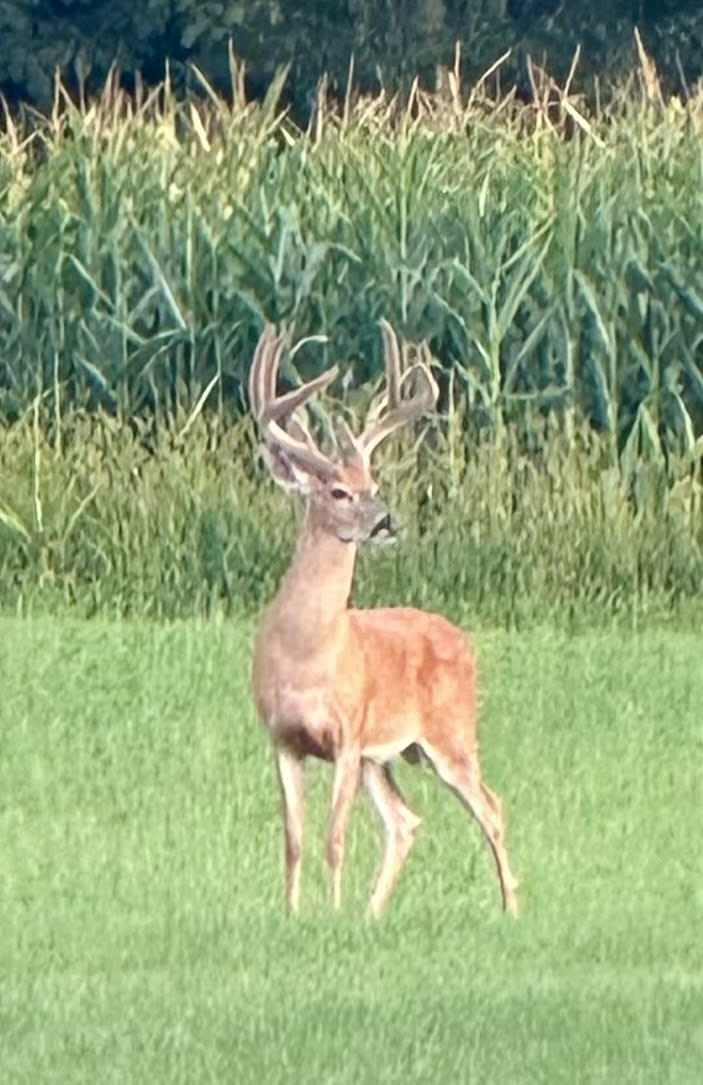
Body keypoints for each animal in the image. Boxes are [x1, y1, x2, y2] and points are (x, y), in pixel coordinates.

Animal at [249, 320, 519, 919]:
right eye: (338, 491)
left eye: (372, 485)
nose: (386, 520)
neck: (307, 653)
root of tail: (462, 637)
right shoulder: (284, 738)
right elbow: (293, 840)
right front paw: (292, 915)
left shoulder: (348, 734)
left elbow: (334, 838)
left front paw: (330, 914)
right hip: (389, 755)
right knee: (405, 822)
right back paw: (373, 915)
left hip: (450, 732)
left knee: (491, 807)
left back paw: (513, 910)